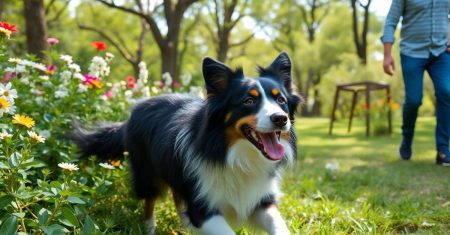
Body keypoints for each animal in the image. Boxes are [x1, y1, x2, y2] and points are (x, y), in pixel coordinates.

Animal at [72, 52, 300, 234]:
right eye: (249, 101)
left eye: (281, 100)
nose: (281, 119)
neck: (235, 155)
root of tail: (137, 108)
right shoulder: (203, 205)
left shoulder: (261, 199)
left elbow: (279, 226)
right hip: (147, 172)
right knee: (150, 200)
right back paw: (150, 227)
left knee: (176, 194)